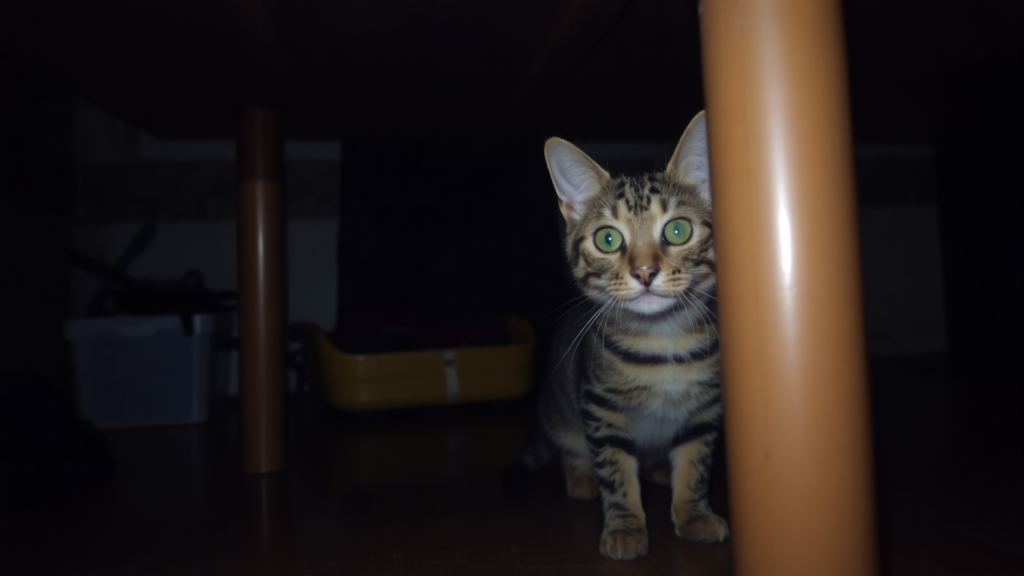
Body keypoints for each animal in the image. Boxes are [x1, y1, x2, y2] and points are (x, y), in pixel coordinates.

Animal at [505, 111, 729, 557]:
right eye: (607, 239)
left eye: (678, 230)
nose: (644, 271)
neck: (663, 339)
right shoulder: (600, 407)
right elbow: (615, 469)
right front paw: (625, 527)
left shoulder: (704, 408)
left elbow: (695, 462)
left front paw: (693, 513)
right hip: (561, 409)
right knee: (570, 447)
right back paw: (581, 479)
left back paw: (658, 468)